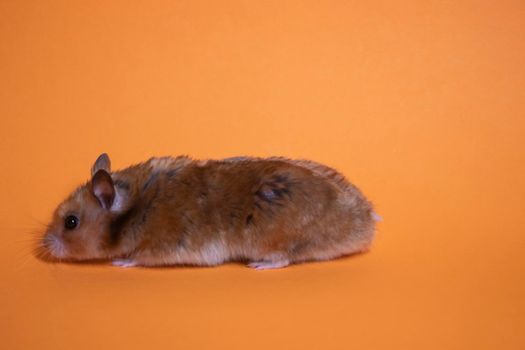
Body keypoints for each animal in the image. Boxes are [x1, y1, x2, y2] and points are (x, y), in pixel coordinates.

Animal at [37, 154, 376, 270]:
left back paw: (257, 266)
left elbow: (137, 257)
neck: (135, 205)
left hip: (275, 241)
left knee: (283, 259)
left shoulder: (161, 246)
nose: (42, 247)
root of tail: (367, 222)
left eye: (71, 222)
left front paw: (119, 262)